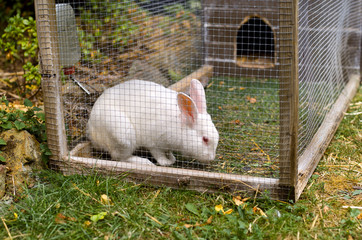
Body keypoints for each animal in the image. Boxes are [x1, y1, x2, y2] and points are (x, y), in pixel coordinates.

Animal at [87, 79, 218, 166]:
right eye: (205, 139)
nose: (211, 158)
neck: (180, 124)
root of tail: (92, 132)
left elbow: (168, 151)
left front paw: (172, 158)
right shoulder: (154, 143)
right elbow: (158, 154)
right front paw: (166, 162)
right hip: (122, 137)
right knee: (120, 157)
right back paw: (144, 162)